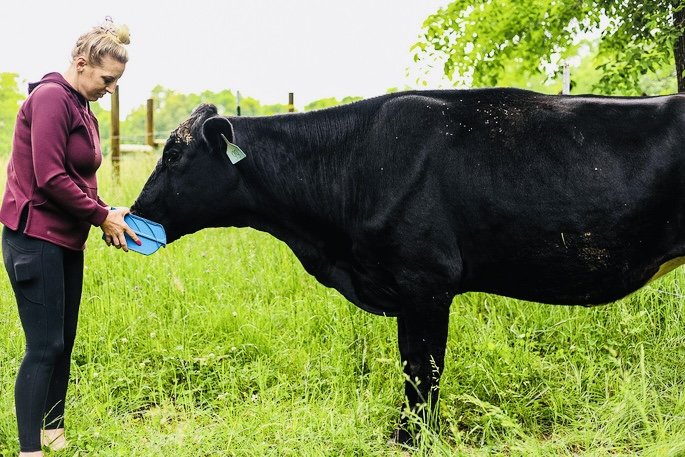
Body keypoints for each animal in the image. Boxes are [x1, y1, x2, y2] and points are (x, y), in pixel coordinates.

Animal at [131, 88, 685, 444]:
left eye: (174, 155)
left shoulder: (426, 283)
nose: (135, 213)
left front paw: (413, 438)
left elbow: (422, 368)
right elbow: (411, 365)